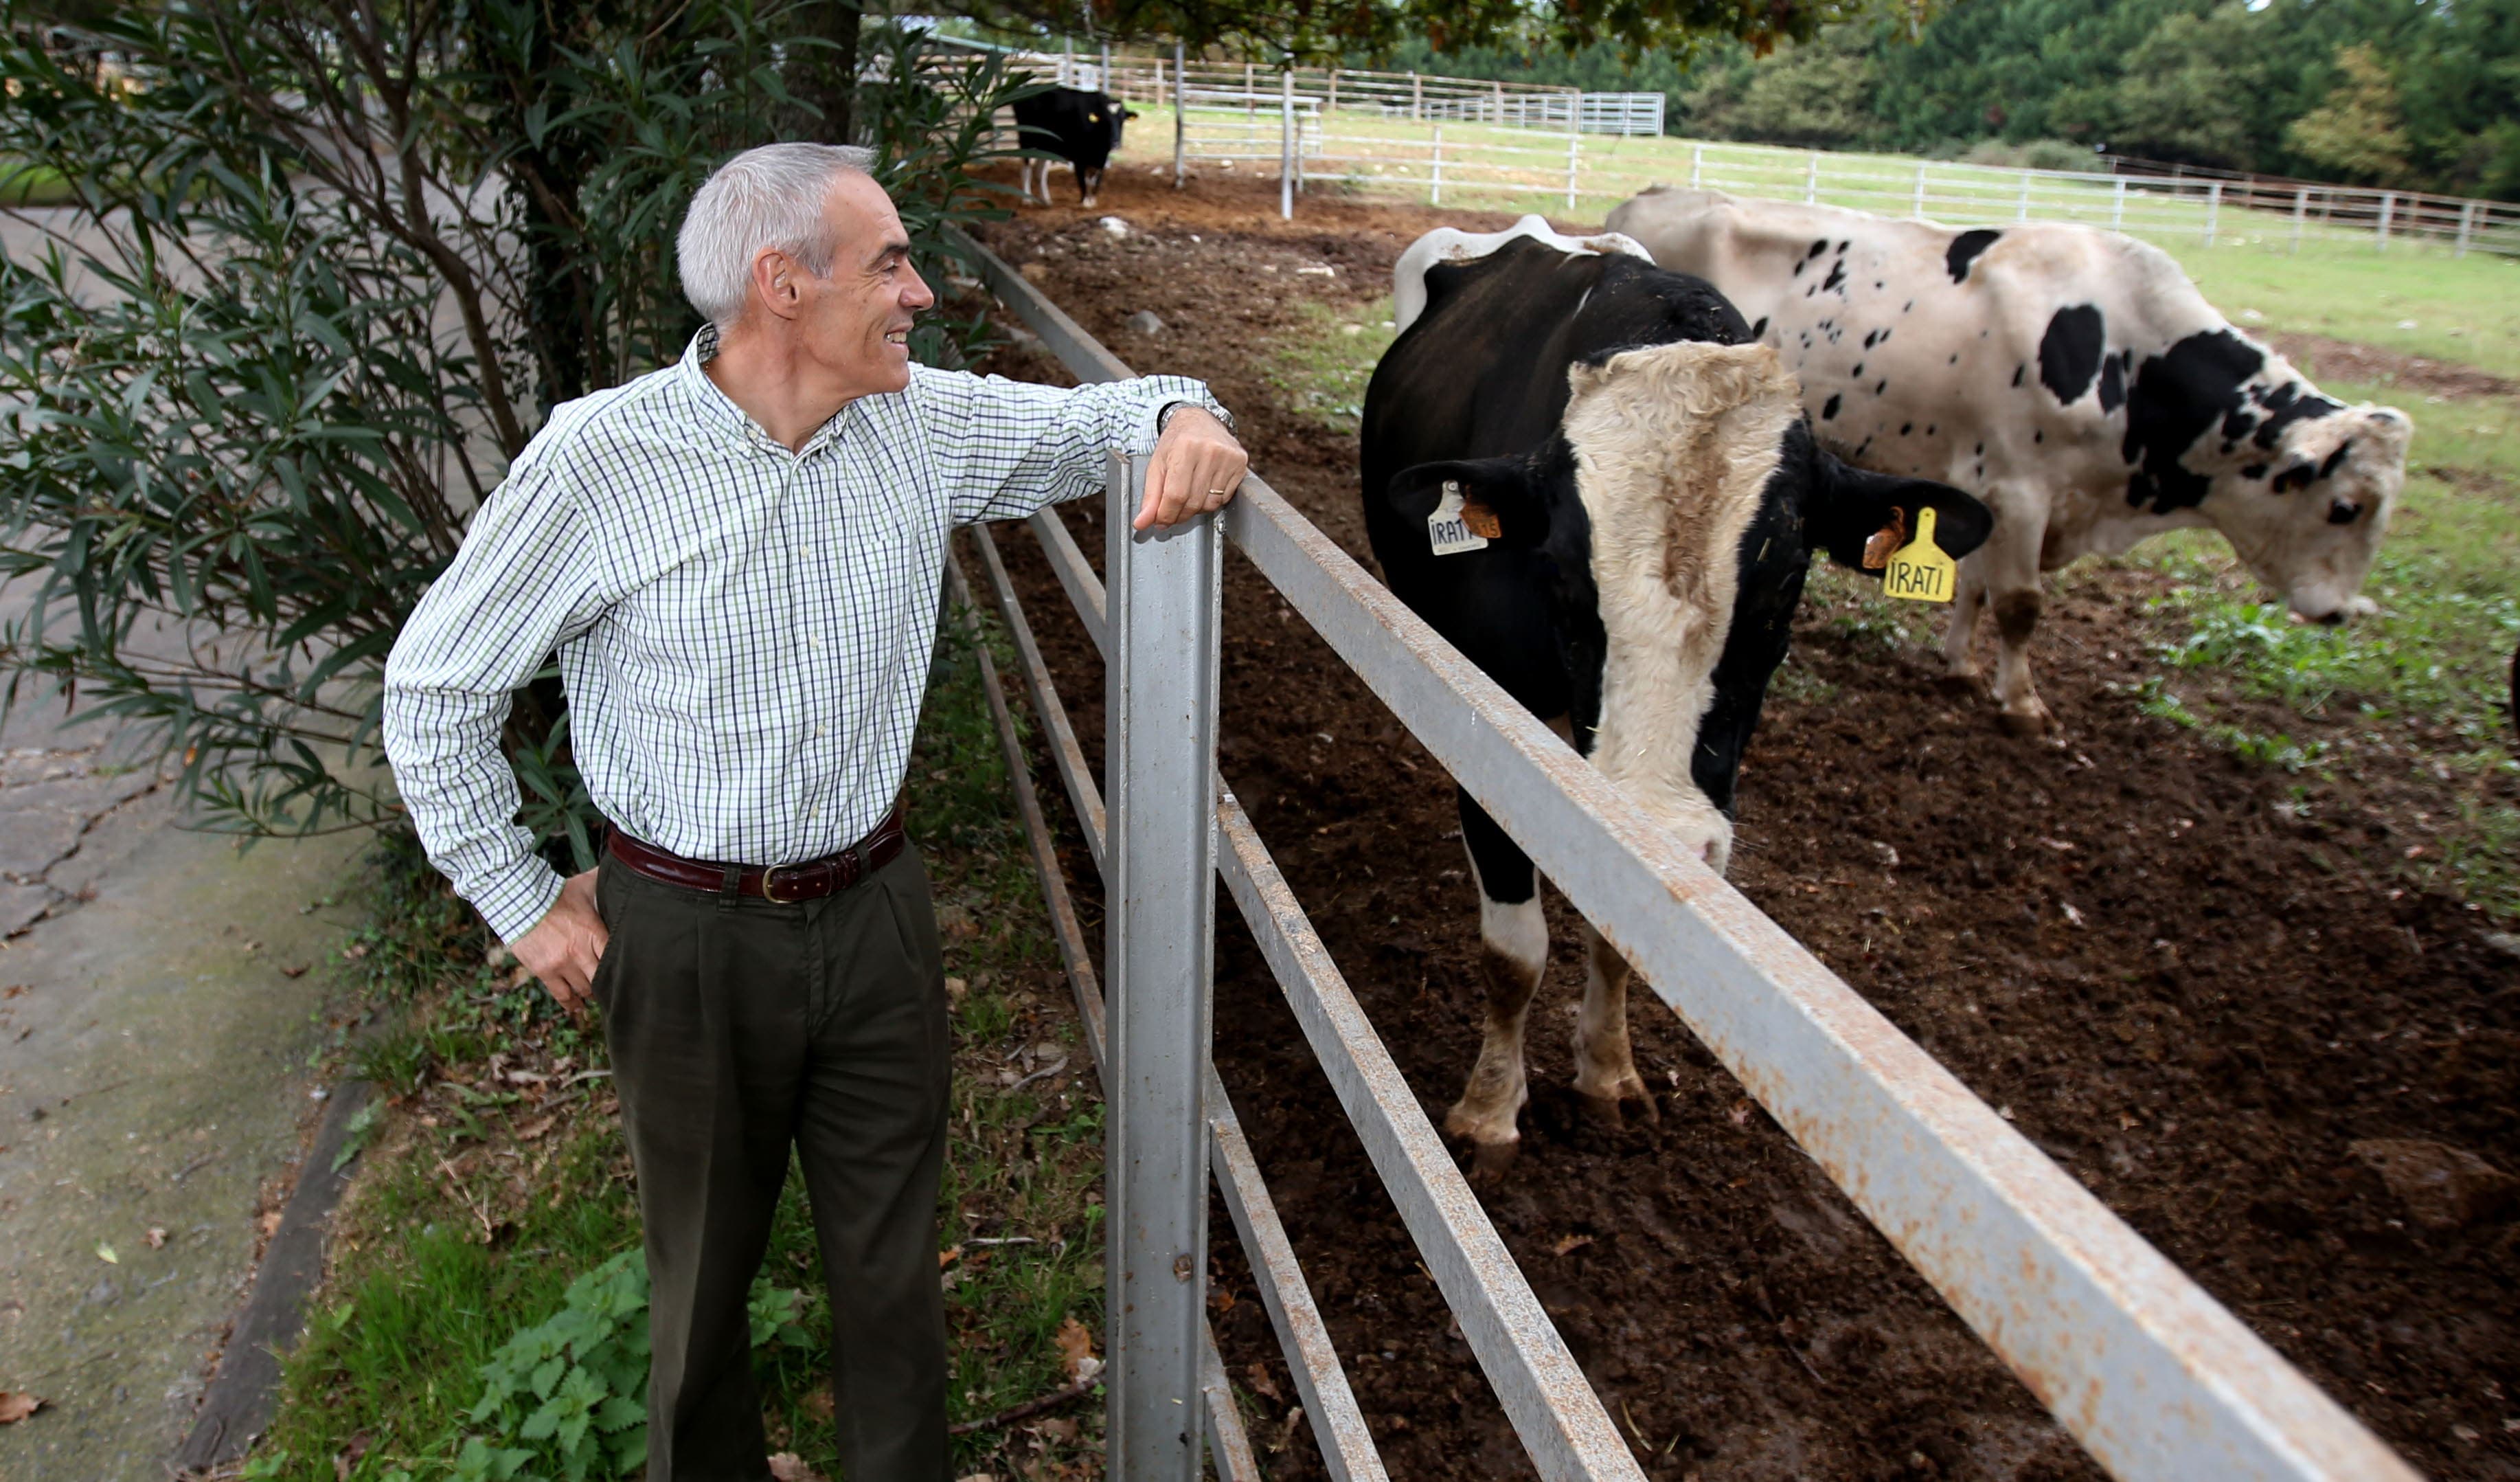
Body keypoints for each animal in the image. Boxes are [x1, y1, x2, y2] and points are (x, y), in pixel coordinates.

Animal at [1008, 87, 1139, 207]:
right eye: (1105, 121)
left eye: (1122, 121)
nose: (1115, 143)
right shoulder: (1078, 158)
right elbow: (1084, 180)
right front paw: (1085, 202)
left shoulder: (1101, 159)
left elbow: (1095, 181)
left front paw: (1092, 201)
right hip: (1026, 140)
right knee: (1027, 170)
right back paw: (1026, 200)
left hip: (1046, 146)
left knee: (1040, 172)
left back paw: (1046, 200)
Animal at [1370, 225, 1995, 1164]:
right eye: (1559, 573)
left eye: (1786, 583)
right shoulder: (1491, 736)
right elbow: (1514, 951)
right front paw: (1488, 1112)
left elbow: (1625, 924)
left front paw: (1606, 1075)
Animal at [1602, 185, 2409, 736]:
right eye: (2345, 507)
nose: (2337, 613)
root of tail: (1650, 200)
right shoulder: (2022, 487)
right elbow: (2020, 604)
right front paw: (2022, 701)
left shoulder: (1985, 486)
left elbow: (1974, 586)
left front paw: (1960, 664)